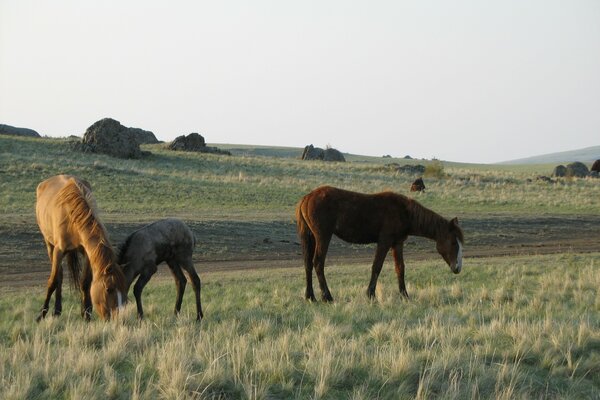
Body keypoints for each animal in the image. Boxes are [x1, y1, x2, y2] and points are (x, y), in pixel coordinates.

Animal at [35, 175, 126, 322]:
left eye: (124, 288)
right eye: (108, 289)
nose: (116, 318)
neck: (73, 216)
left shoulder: (88, 253)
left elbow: (85, 283)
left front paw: (86, 314)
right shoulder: (59, 250)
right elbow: (53, 281)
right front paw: (41, 314)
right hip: (49, 244)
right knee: (59, 275)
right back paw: (56, 310)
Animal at [296, 186, 464, 302]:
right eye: (453, 243)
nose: (457, 268)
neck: (404, 211)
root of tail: (307, 198)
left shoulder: (397, 243)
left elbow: (400, 268)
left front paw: (405, 295)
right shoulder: (384, 242)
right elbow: (377, 266)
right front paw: (370, 295)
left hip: (310, 237)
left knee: (307, 264)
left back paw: (310, 297)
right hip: (323, 237)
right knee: (318, 263)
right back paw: (327, 297)